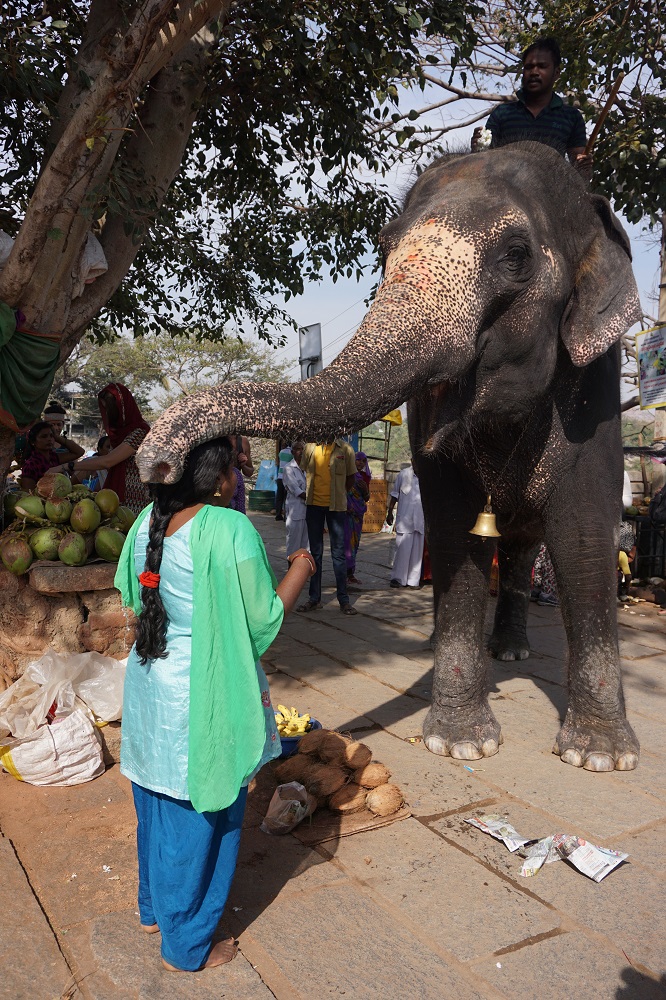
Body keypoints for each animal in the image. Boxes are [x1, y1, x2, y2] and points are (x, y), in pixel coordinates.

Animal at [137, 143, 640, 772]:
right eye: (383, 246)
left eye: (516, 256)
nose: (158, 463)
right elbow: (454, 528)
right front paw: (460, 743)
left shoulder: (595, 399)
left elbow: (583, 533)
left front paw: (601, 756)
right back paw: (464, 645)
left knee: (526, 545)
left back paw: (512, 652)